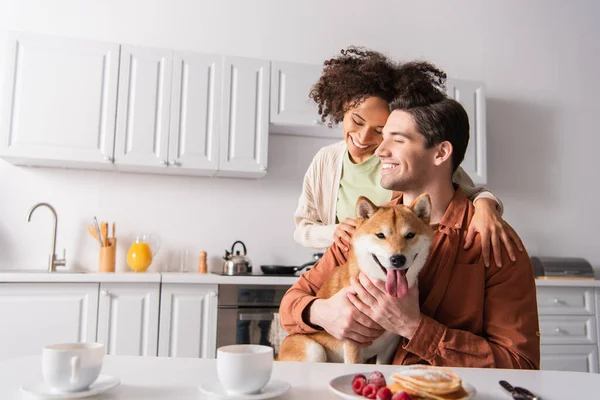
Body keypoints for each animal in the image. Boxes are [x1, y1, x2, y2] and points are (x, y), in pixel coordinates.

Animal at [276, 194, 436, 366]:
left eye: (410, 235)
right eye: (380, 235)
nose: (397, 259)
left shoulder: (389, 346)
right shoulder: (352, 341)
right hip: (315, 351)